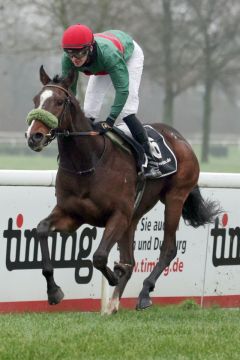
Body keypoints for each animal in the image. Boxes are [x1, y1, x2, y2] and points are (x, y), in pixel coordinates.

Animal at [25, 66, 219, 314]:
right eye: (36, 100)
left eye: (59, 102)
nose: (35, 136)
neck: (88, 162)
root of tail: (180, 138)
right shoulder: (72, 215)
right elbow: (41, 229)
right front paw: (53, 291)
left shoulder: (117, 215)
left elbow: (99, 256)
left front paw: (115, 275)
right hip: (134, 215)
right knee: (131, 257)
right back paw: (112, 305)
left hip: (175, 197)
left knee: (168, 249)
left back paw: (144, 293)